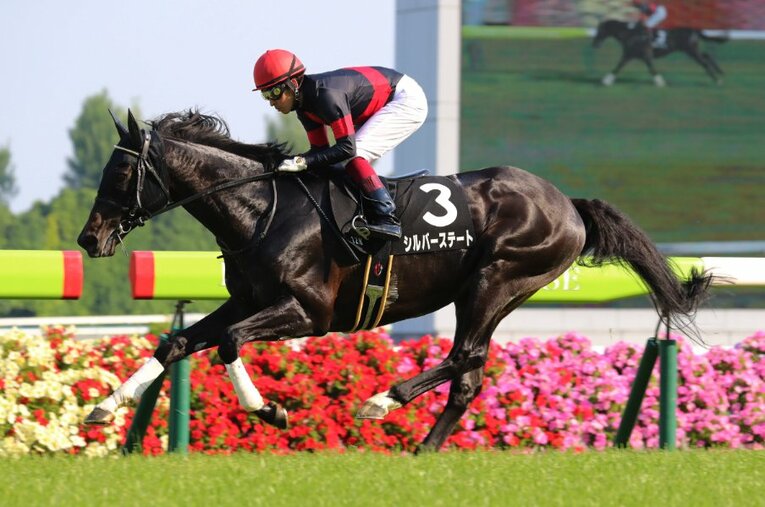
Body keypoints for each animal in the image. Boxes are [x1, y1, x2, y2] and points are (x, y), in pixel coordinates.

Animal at [77, 109, 712, 453]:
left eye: (122, 172)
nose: (88, 238)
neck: (263, 210)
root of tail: (568, 205)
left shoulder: (307, 312)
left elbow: (229, 344)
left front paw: (271, 411)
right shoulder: (247, 301)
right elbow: (176, 342)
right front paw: (104, 409)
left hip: (497, 279)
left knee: (464, 356)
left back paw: (381, 402)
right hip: (490, 290)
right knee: (468, 375)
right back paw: (423, 450)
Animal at [592, 19, 727, 86]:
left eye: (599, 30)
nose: (594, 44)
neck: (631, 33)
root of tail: (694, 30)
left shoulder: (645, 54)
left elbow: (651, 68)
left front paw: (660, 82)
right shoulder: (629, 54)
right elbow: (618, 66)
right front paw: (606, 80)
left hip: (691, 50)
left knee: (704, 62)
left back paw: (717, 80)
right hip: (692, 50)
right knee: (707, 55)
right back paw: (719, 72)